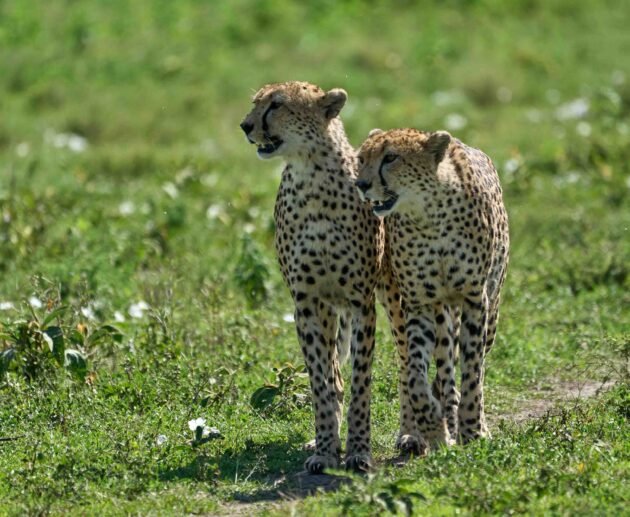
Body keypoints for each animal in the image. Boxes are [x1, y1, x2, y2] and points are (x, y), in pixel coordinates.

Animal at [239, 81, 386, 472]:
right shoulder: (306, 302)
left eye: (277, 105)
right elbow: (321, 380)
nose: (245, 126)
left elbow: (362, 380)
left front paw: (359, 450)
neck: (312, 173)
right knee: (334, 373)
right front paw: (325, 449)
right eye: (255, 102)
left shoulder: (361, 301)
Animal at [358, 128, 512, 448]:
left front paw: (473, 430)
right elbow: (416, 373)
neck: (429, 215)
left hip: (490, 310)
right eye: (362, 158)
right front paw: (432, 425)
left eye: (391, 158)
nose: (361, 184)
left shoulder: (474, 299)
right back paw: (414, 431)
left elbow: (473, 371)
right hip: (404, 306)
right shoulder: (419, 303)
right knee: (424, 364)